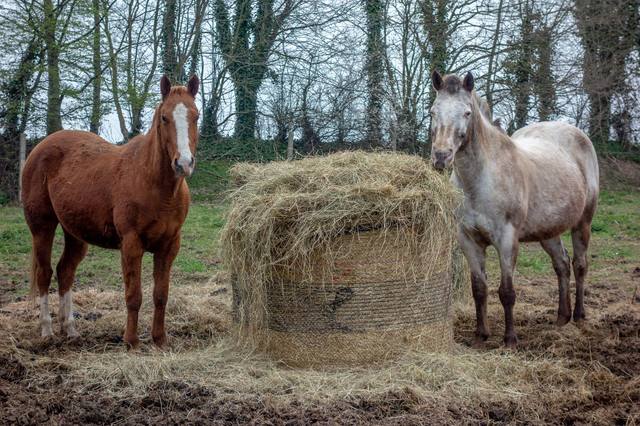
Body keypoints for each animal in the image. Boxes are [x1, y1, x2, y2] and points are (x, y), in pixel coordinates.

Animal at [21, 74, 200, 348]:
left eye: (196, 116)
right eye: (164, 118)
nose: (183, 163)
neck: (153, 183)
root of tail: (40, 147)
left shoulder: (169, 246)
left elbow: (161, 295)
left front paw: (159, 339)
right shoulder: (131, 244)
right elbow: (133, 295)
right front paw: (131, 341)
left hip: (75, 233)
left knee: (65, 271)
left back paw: (70, 330)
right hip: (42, 228)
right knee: (45, 274)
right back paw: (47, 331)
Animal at [429, 70, 599, 348]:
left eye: (467, 112)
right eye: (433, 111)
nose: (441, 157)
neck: (480, 181)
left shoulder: (507, 240)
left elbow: (507, 292)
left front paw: (510, 339)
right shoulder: (468, 240)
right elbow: (479, 289)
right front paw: (481, 335)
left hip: (583, 223)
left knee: (580, 265)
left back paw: (579, 316)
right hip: (548, 231)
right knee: (562, 265)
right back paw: (561, 318)